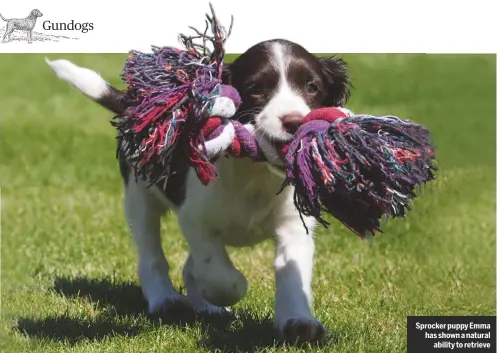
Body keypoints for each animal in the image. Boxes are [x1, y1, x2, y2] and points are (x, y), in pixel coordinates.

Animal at [45, 39, 348, 344]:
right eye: (256, 89)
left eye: (312, 87)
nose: (294, 122)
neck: (255, 174)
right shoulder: (194, 219)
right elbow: (220, 274)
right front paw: (229, 291)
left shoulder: (294, 225)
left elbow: (292, 273)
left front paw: (298, 322)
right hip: (139, 197)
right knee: (152, 255)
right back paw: (166, 300)